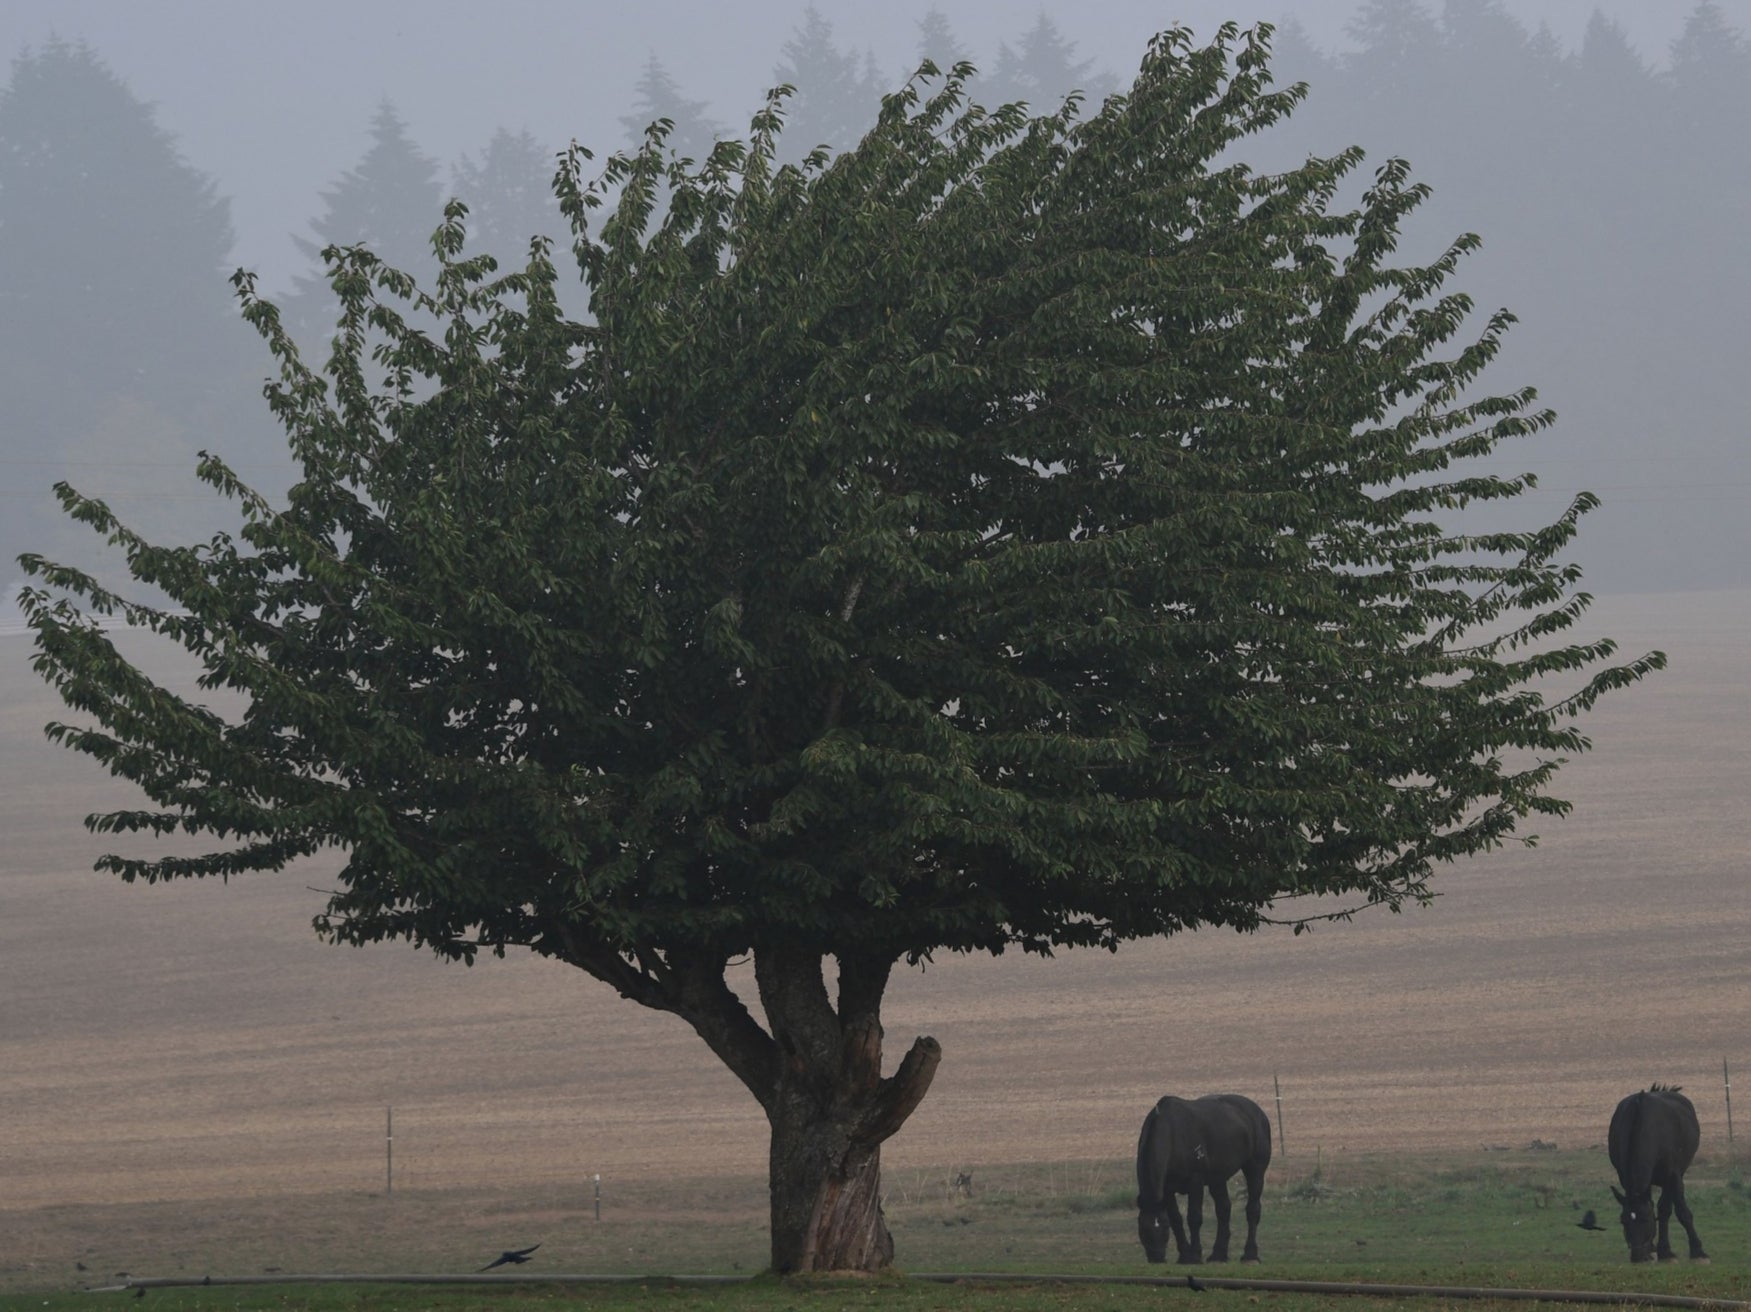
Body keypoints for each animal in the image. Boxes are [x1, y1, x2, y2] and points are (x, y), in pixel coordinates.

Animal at [1134, 1093, 1274, 1261]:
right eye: (1143, 1227)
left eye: (1164, 1227)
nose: (1157, 1258)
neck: (1173, 1133)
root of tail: (1259, 1112)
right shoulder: (1167, 1190)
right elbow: (1176, 1219)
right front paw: (1185, 1255)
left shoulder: (1196, 1181)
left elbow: (1194, 1218)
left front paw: (1194, 1255)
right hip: (1217, 1180)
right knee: (1223, 1209)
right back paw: (1218, 1255)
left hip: (1255, 1171)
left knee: (1252, 1209)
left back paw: (1250, 1255)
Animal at [1603, 1079, 1701, 1261]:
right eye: (1623, 1221)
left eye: (1645, 1220)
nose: (1638, 1256)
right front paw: (1657, 1249)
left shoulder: (1674, 1176)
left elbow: (1680, 1211)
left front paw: (1698, 1251)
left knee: (1665, 1208)